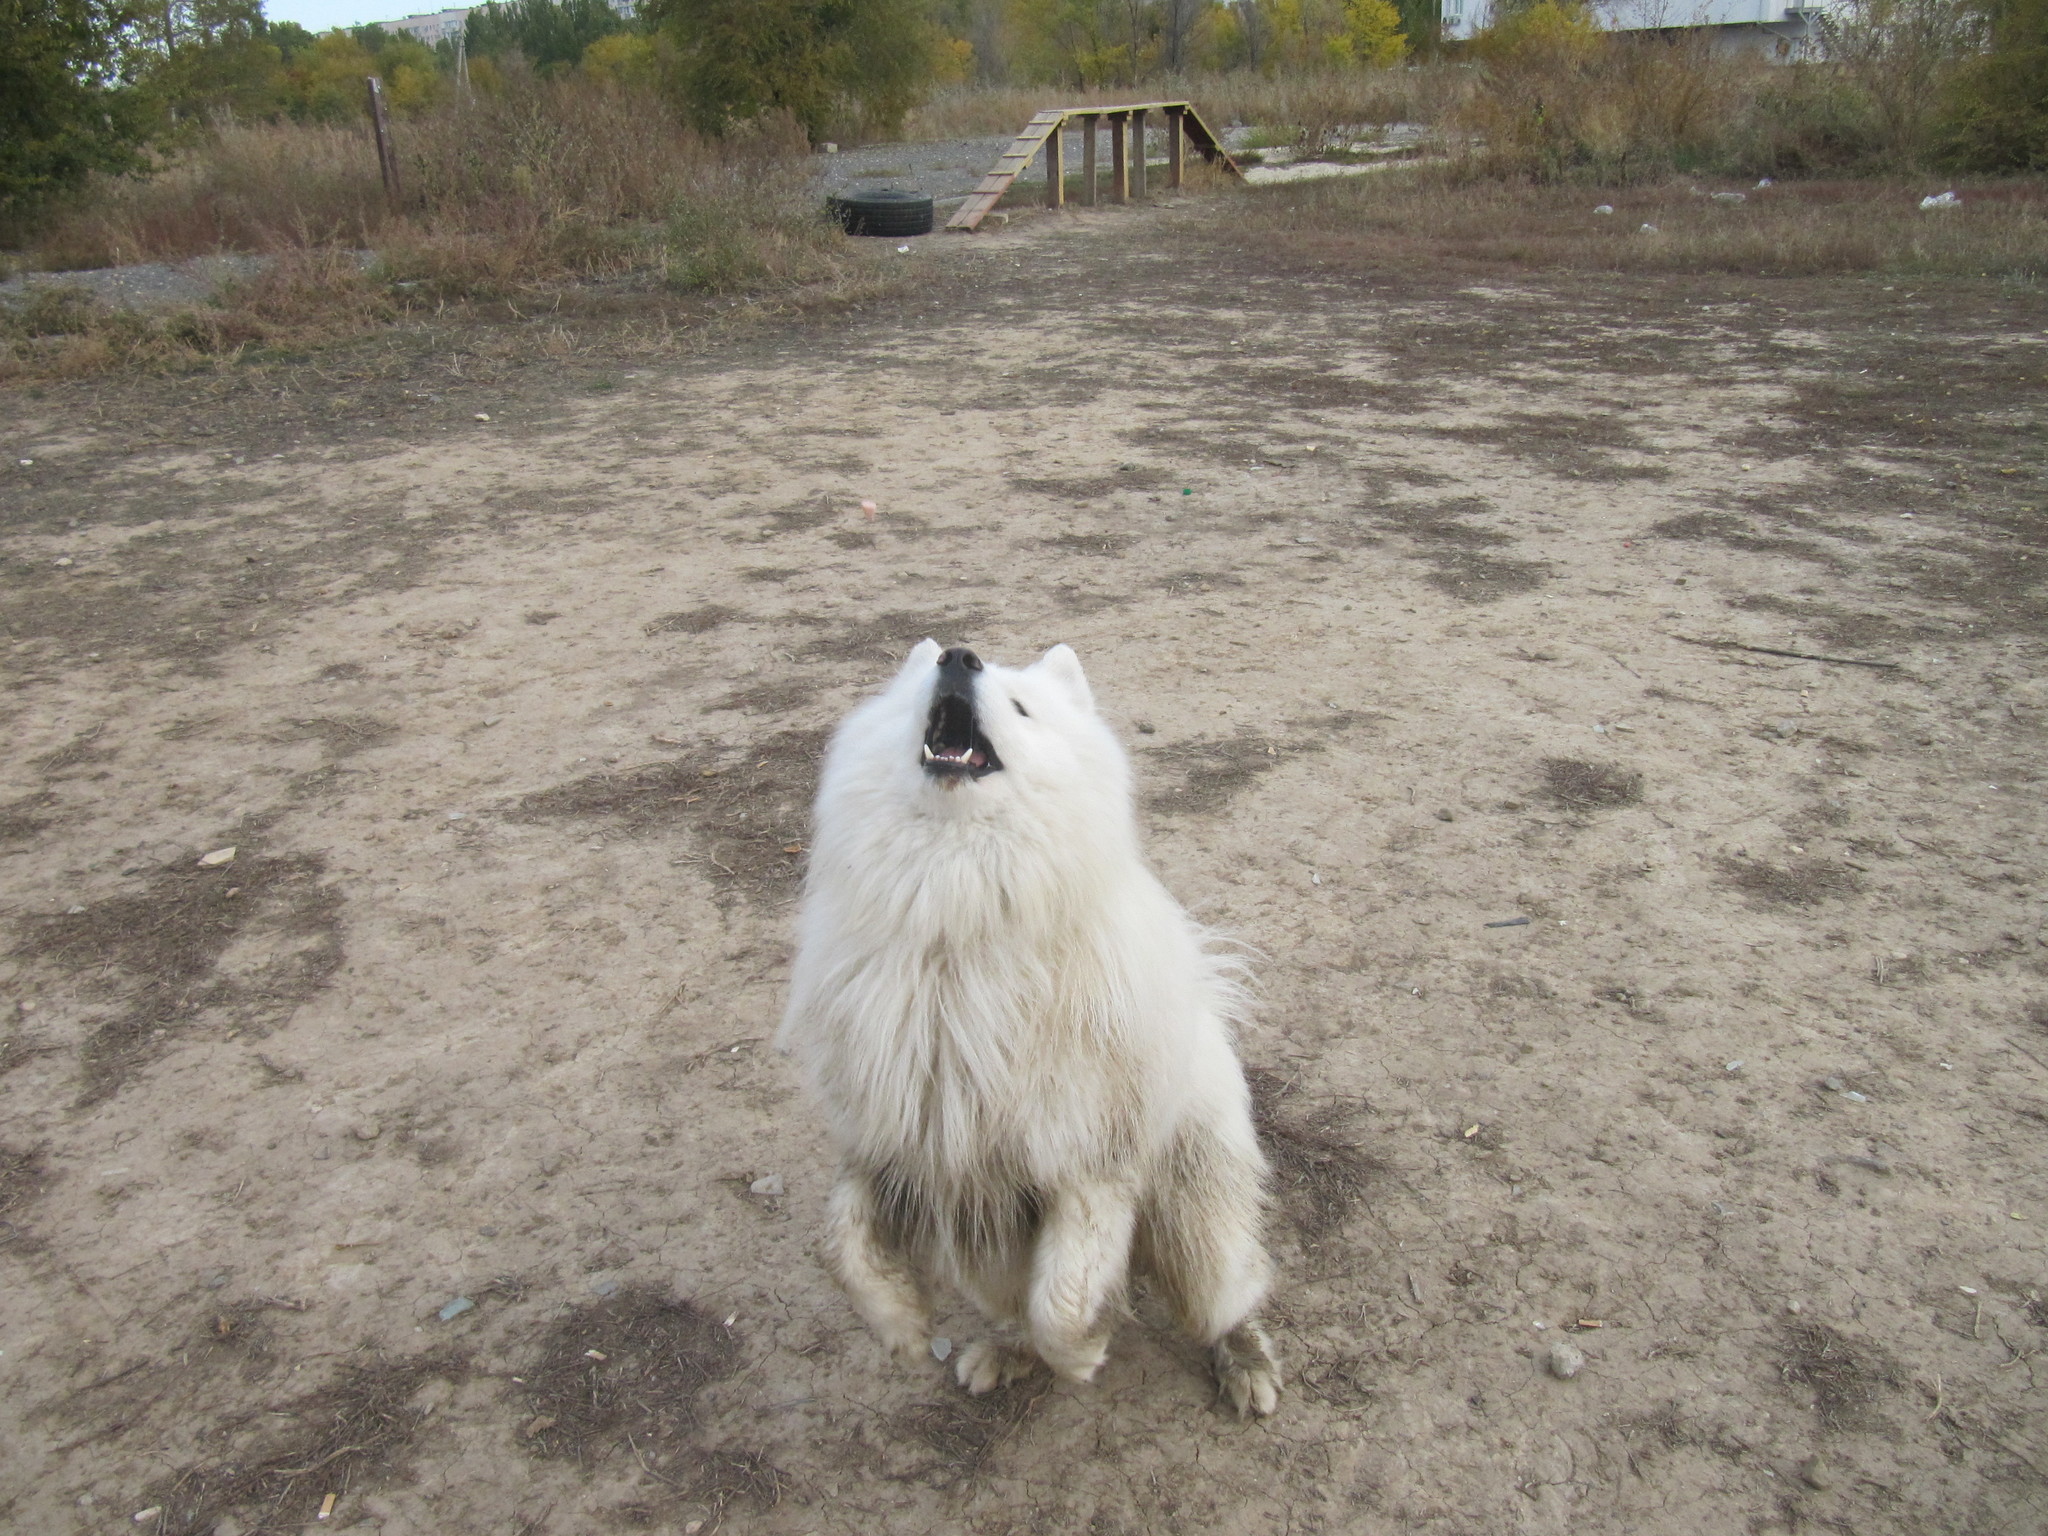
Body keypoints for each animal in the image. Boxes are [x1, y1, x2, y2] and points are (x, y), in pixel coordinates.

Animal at [778, 638, 1277, 1417]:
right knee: (1015, 1308)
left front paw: (1084, 1351)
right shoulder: (895, 1141)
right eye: (923, 685)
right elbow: (843, 1245)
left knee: (1233, 1293)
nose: (958, 656)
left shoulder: (1089, 1167)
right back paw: (1005, 1353)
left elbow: (1064, 1303)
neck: (956, 919)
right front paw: (901, 1323)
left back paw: (1245, 1361)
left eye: (1020, 707)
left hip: (1197, 1230)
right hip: (988, 1240)